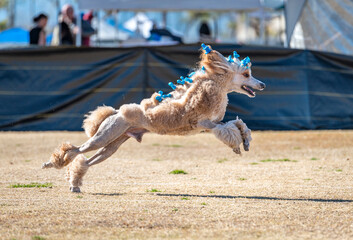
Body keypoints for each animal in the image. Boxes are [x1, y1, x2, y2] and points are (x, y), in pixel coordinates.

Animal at [42, 44, 264, 193]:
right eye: (246, 74)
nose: (262, 84)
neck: (213, 85)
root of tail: (116, 113)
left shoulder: (213, 123)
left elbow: (238, 124)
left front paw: (245, 142)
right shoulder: (203, 123)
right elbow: (228, 129)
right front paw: (237, 144)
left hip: (113, 145)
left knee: (86, 162)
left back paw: (74, 184)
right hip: (104, 136)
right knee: (75, 151)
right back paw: (51, 165)